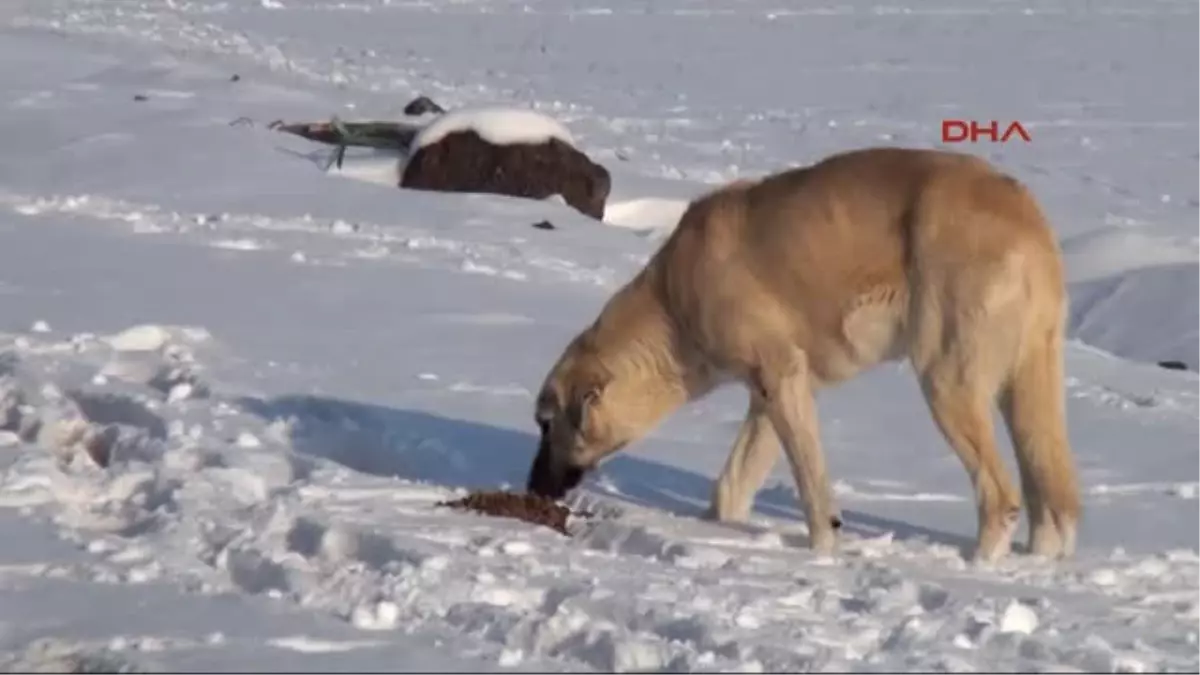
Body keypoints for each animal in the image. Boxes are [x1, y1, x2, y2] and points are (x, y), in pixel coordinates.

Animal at [525, 144, 1080, 559]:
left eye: (547, 424)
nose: (531, 487)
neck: (671, 302)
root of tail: (1028, 216)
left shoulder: (779, 374)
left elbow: (811, 484)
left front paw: (822, 552)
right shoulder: (773, 391)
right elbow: (732, 486)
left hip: (946, 380)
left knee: (1001, 497)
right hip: (1029, 381)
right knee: (1054, 501)